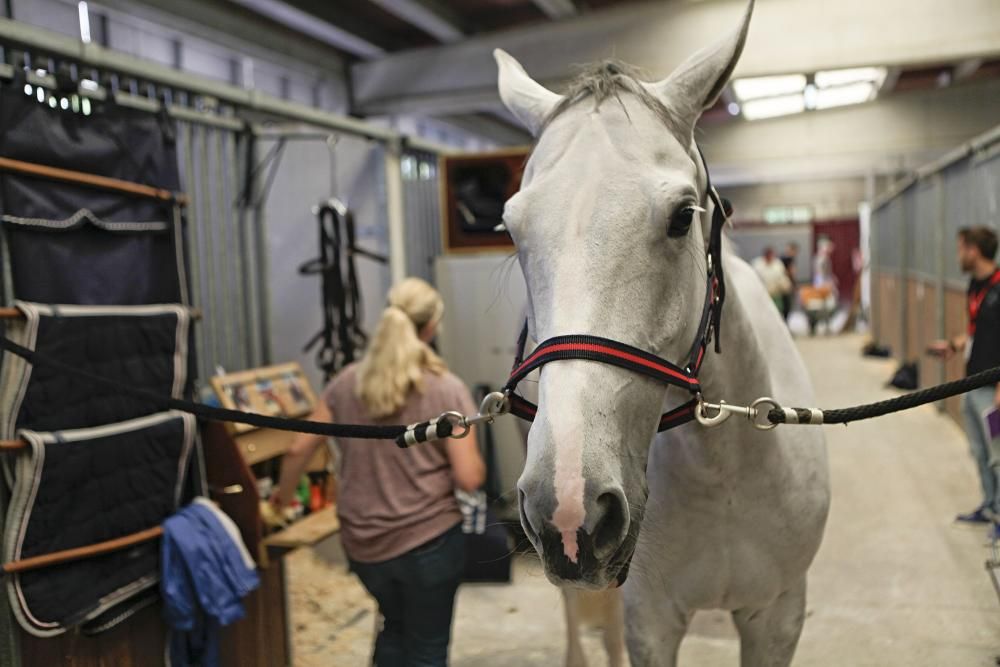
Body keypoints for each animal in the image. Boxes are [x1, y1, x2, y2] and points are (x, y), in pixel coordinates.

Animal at [492, 2, 828, 664]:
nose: (569, 509)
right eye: (512, 229)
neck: (723, 471)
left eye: (681, 217)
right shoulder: (651, 619)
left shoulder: (778, 617)